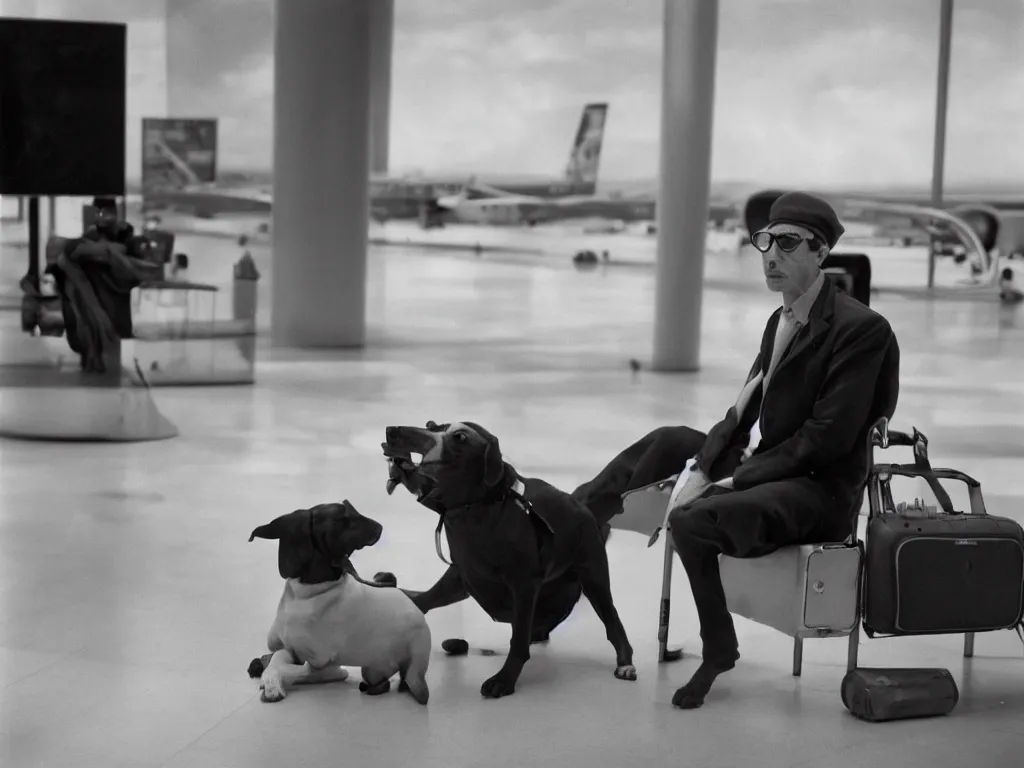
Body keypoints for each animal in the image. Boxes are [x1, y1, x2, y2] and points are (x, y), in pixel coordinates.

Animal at [378, 417, 630, 700]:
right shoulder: (463, 569)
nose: (393, 431)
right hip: (461, 581)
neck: (477, 506)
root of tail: (585, 510)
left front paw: (504, 680)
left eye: (461, 437)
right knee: (423, 600)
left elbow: (517, 643)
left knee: (613, 623)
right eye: (431, 425)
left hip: (594, 580)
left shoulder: (524, 587)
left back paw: (625, 662)